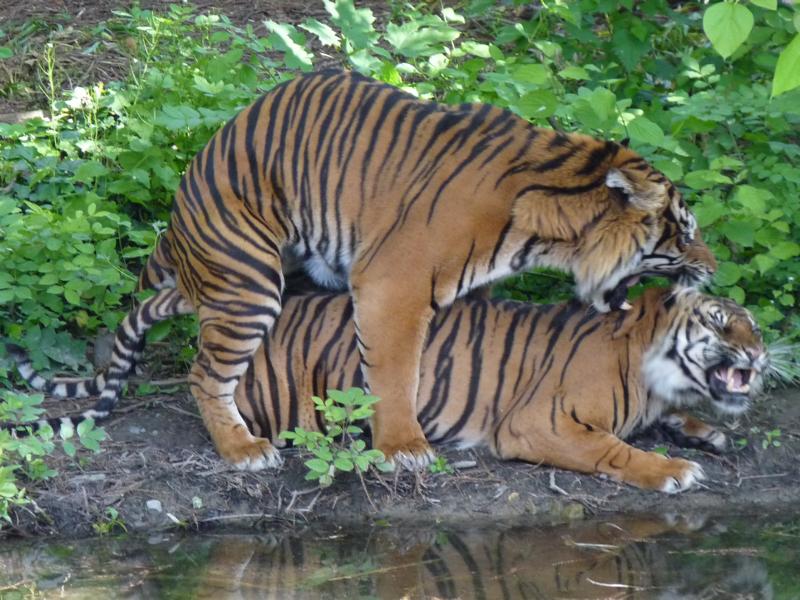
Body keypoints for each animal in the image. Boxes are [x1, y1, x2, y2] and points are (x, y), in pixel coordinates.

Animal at [9, 284, 767, 492]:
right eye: (721, 322)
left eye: (753, 322)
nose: (761, 355)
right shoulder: (540, 423)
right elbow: (615, 449)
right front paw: (673, 469)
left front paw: (708, 430)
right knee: (216, 389)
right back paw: (252, 449)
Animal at [97, 69, 721, 469]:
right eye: (686, 231)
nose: (712, 269)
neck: (547, 228)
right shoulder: (392, 286)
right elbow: (397, 372)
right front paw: (403, 447)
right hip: (247, 281)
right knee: (206, 374)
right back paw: (243, 450)